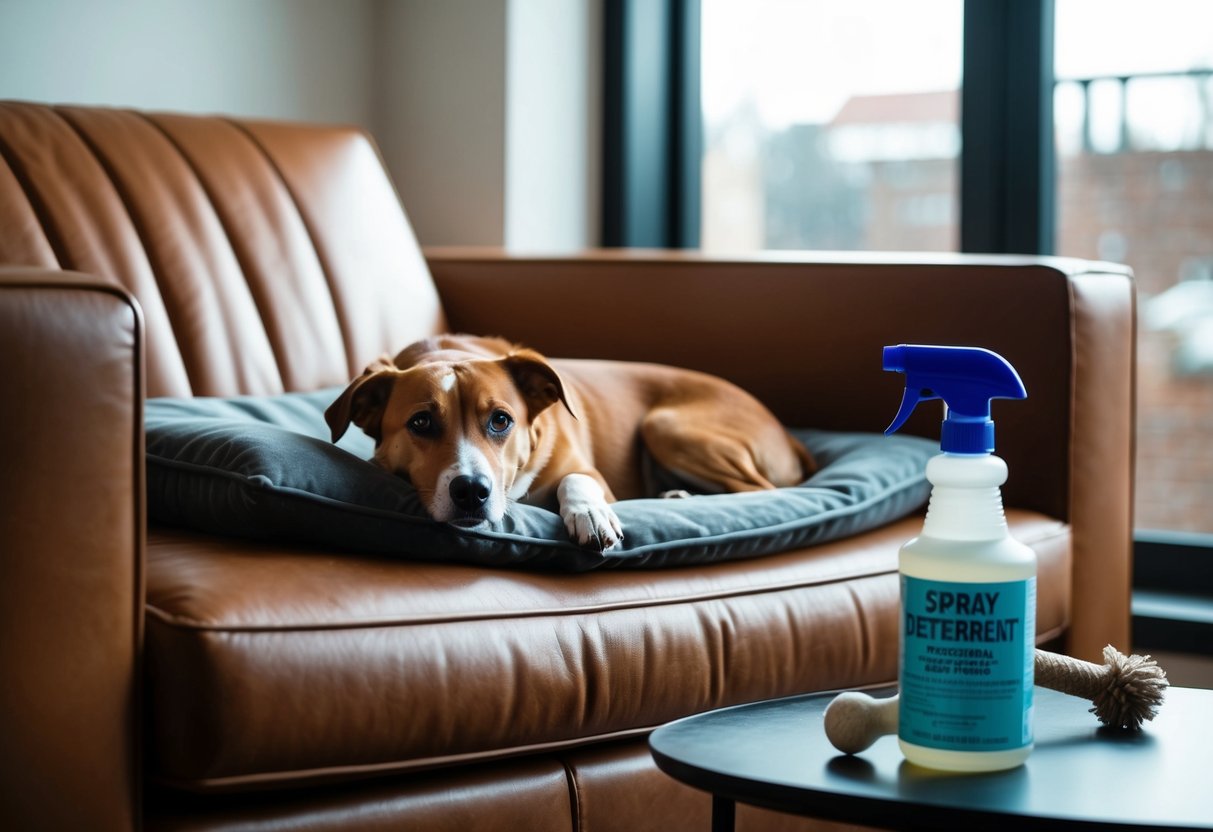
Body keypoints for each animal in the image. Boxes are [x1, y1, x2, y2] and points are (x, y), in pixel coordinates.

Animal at [325, 332, 815, 553]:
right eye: (422, 422)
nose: (472, 491)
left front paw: (589, 514)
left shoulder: (587, 471)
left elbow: (576, 481)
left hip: (667, 426)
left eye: (501, 420)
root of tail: (791, 438)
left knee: (763, 490)